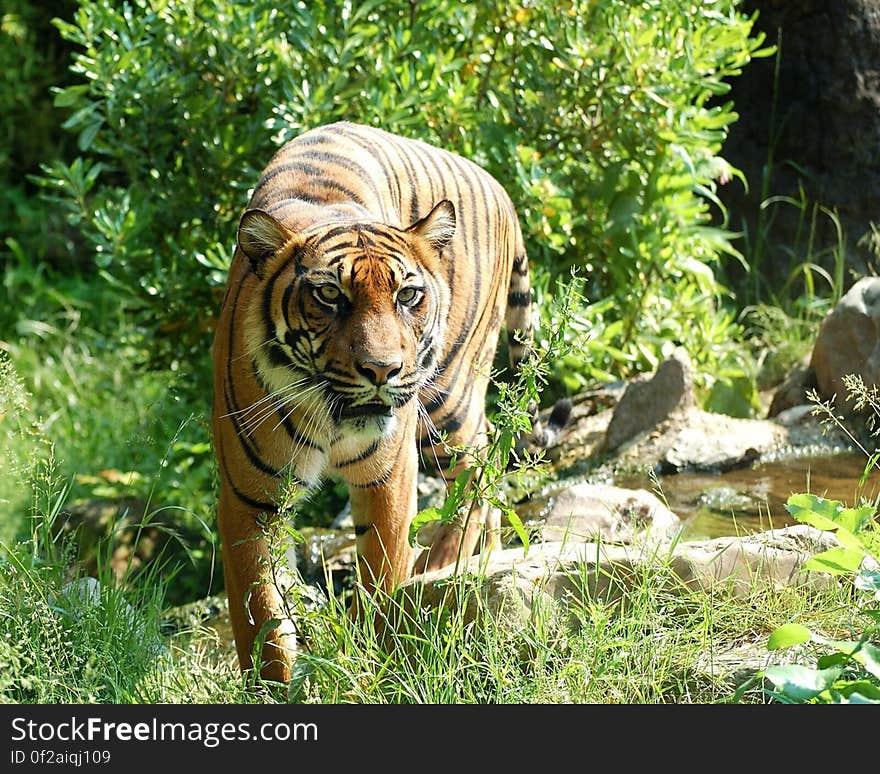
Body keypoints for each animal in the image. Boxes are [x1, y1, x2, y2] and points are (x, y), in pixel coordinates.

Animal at [210, 121, 560, 684]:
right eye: (330, 296)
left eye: (407, 296)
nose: (381, 370)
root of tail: (499, 186)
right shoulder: (250, 498)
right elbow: (260, 612)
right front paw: (272, 685)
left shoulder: (388, 477)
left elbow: (380, 576)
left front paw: (371, 663)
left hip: (447, 398)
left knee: (476, 466)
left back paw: (442, 564)